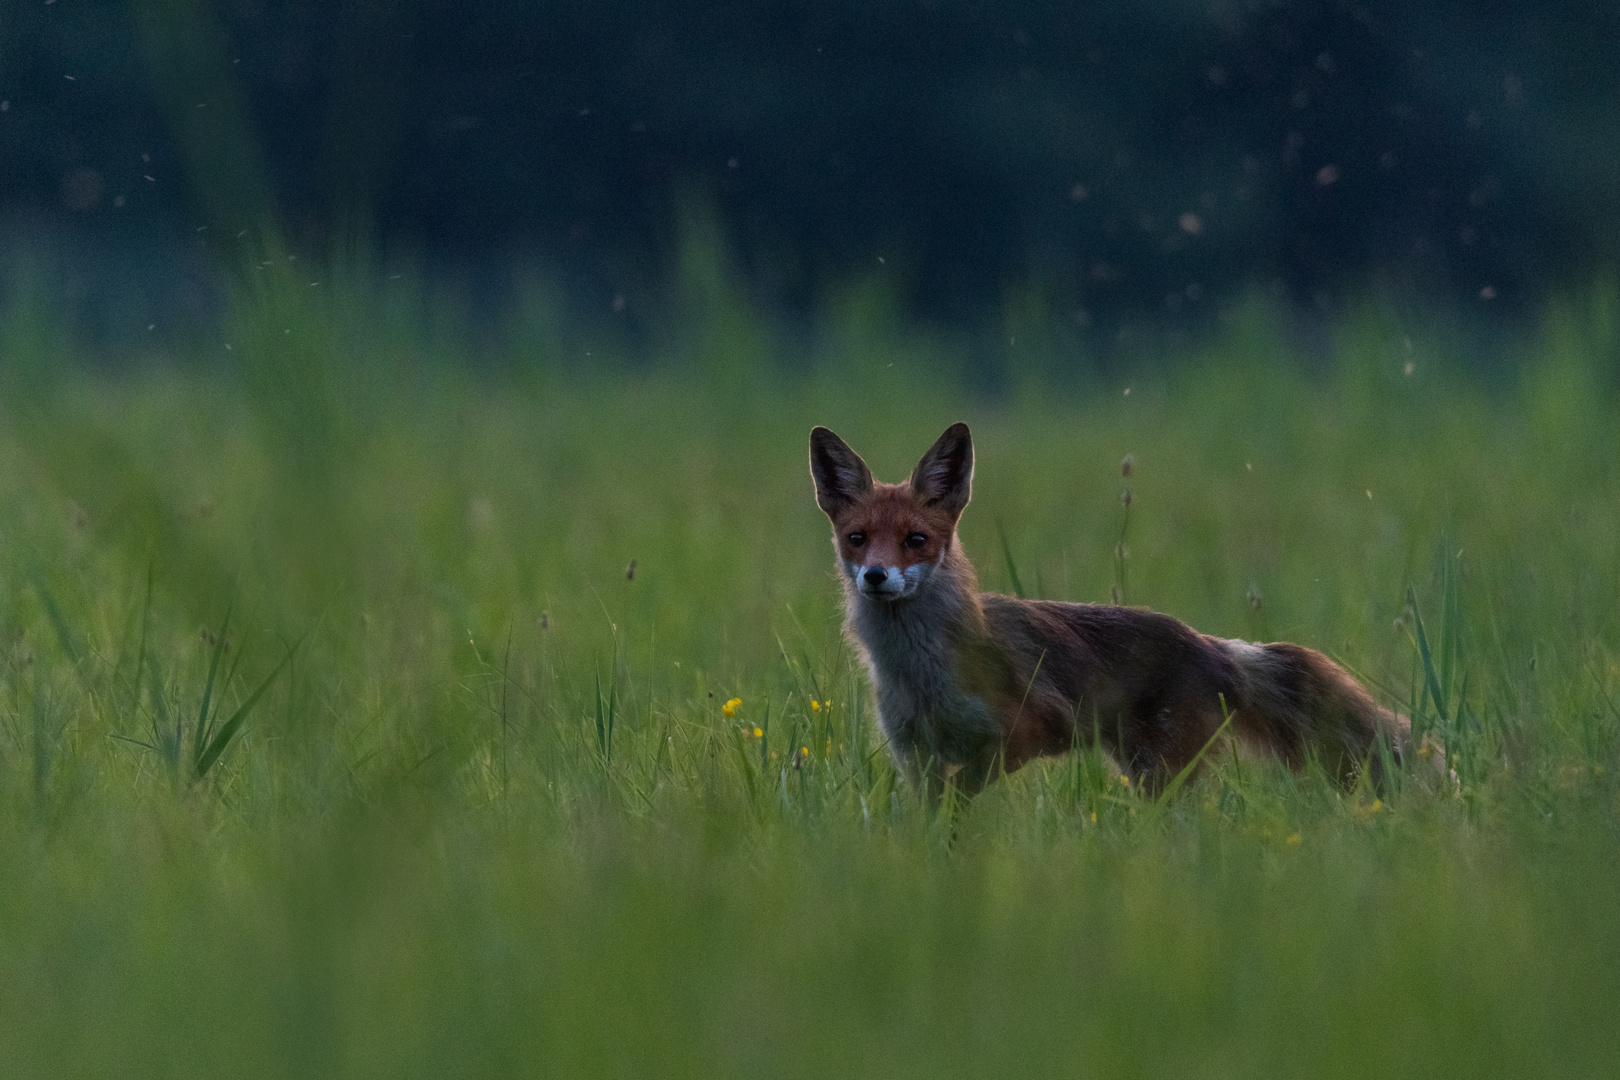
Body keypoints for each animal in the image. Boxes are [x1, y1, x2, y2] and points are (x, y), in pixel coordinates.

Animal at [810, 420, 1419, 803]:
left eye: (915, 539)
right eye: (858, 539)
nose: (876, 576)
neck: (920, 672)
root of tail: (1216, 645)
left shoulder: (1030, 729)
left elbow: (961, 797)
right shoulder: (917, 756)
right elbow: (932, 818)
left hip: (1160, 775)